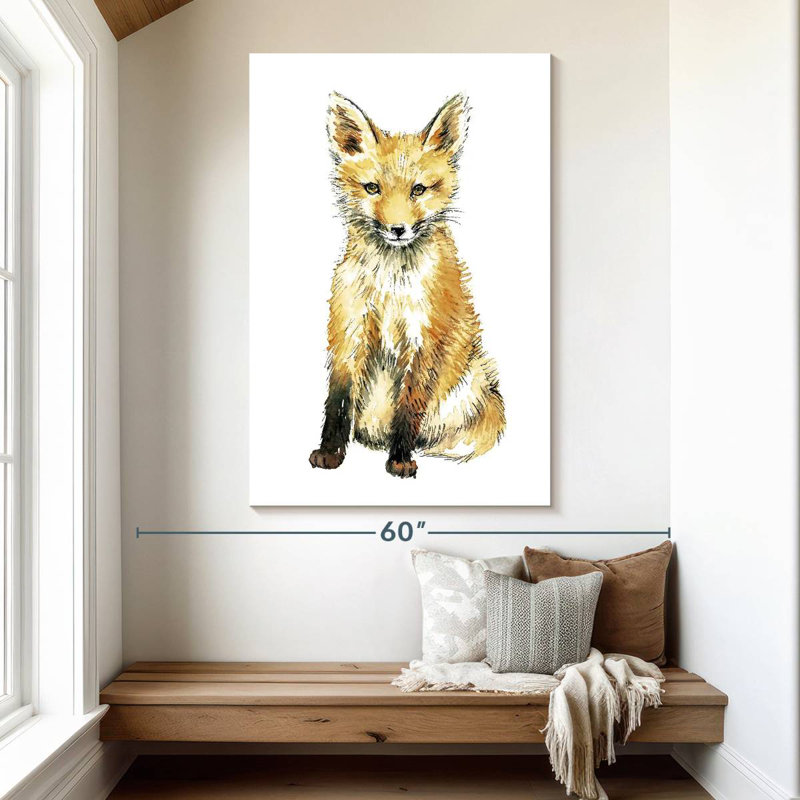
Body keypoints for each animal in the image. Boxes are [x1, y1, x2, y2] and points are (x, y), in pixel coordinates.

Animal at [309, 92, 505, 479]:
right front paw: (329, 453)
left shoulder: (424, 337)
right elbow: (338, 403)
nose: (397, 229)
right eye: (372, 188)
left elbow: (409, 406)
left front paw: (400, 459)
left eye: (418, 190)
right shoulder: (348, 331)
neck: (391, 288)